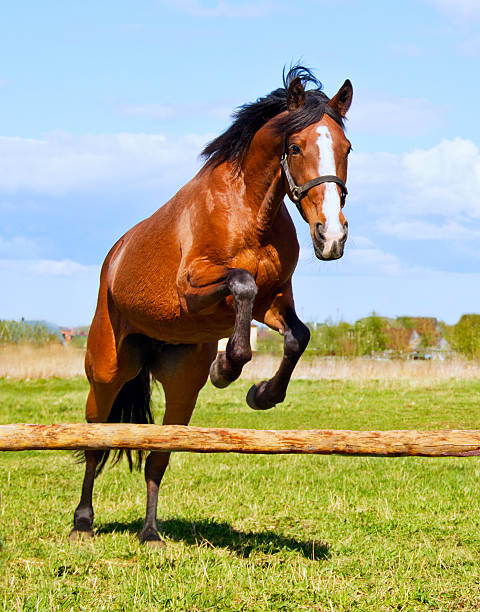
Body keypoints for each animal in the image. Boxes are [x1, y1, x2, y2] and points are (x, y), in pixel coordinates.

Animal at [69, 65, 352, 544]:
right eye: (295, 147)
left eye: (346, 148)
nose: (330, 236)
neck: (249, 210)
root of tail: (115, 256)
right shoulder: (195, 289)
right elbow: (241, 286)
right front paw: (227, 368)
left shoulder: (276, 298)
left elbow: (297, 335)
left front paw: (261, 394)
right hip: (107, 371)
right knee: (96, 440)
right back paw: (83, 522)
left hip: (182, 387)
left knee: (158, 456)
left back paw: (150, 533)